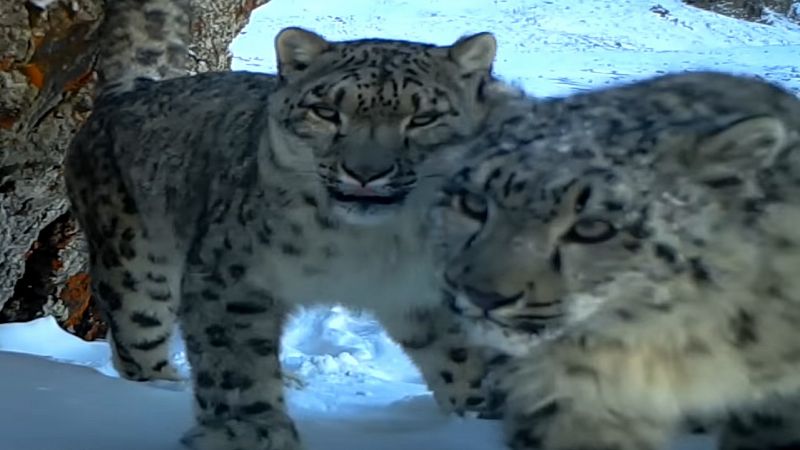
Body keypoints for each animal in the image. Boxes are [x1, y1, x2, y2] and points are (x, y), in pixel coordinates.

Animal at [62, 0, 520, 450]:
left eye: (423, 118)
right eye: (326, 111)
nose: (365, 172)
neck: (366, 248)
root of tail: (134, 88)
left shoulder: (429, 291)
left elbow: (463, 357)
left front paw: (482, 420)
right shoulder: (231, 276)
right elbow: (235, 365)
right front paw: (251, 432)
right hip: (134, 264)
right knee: (135, 342)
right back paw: (165, 387)